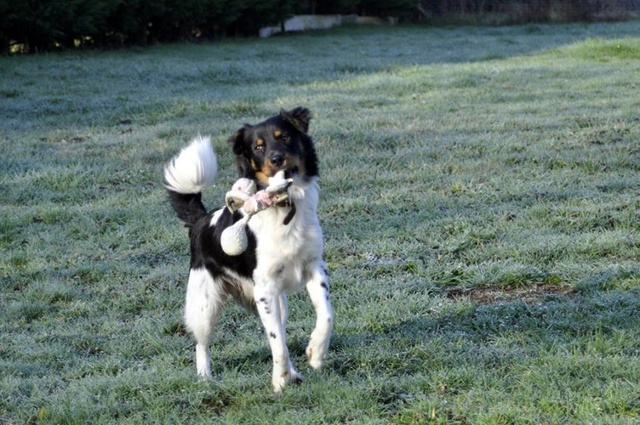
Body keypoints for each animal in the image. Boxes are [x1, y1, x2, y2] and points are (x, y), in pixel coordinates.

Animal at [162, 107, 332, 390]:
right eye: (258, 147)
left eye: (285, 137)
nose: (277, 159)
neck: (284, 206)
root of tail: (201, 221)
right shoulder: (265, 289)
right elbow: (277, 343)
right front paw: (280, 381)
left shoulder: (314, 267)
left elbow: (325, 316)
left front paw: (316, 354)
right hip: (205, 305)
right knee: (201, 344)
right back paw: (205, 376)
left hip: (277, 302)